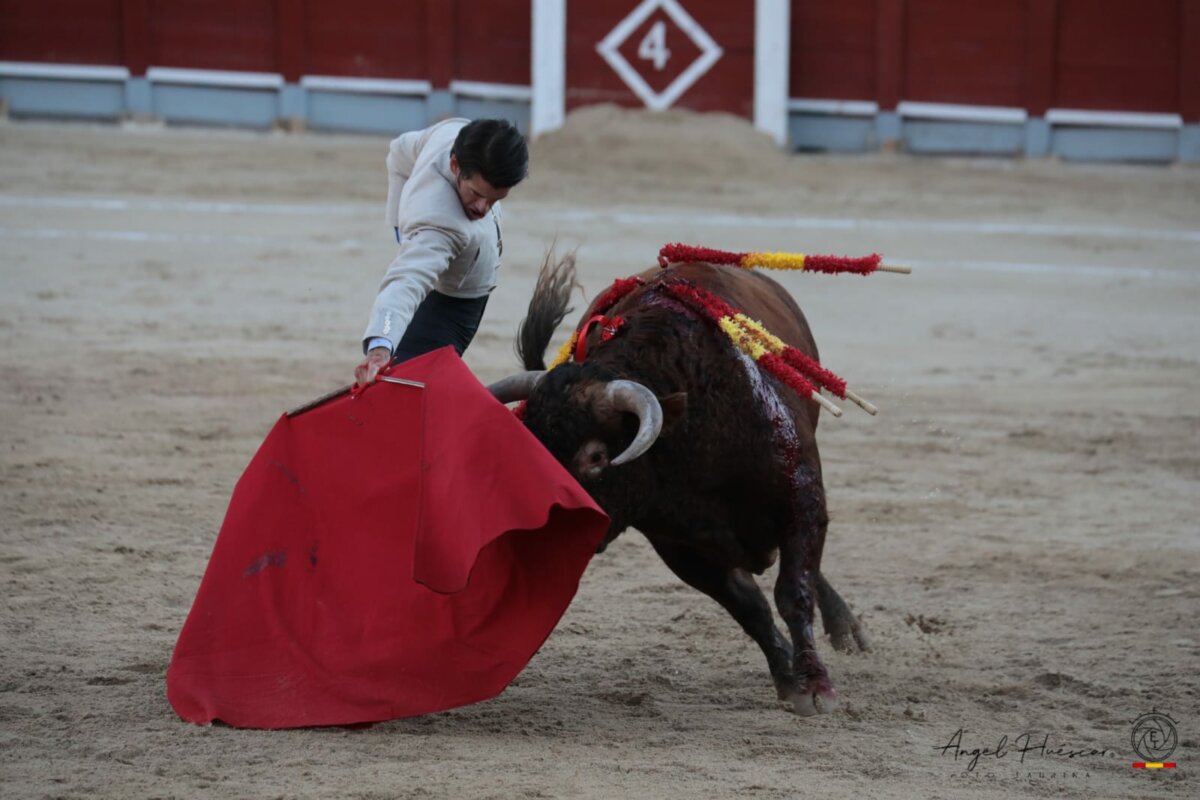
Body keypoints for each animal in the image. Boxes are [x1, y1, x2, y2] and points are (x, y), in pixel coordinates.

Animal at [488, 253, 871, 715]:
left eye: (595, 457)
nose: (539, 537)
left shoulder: (800, 495)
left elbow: (792, 591)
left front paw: (815, 687)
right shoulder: (679, 547)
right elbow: (751, 607)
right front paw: (789, 681)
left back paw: (847, 629)